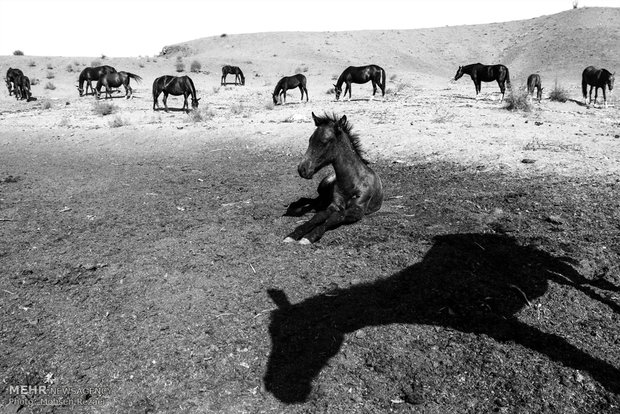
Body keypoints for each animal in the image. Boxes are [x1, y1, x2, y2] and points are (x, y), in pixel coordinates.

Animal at [262, 234, 620, 402]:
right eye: (274, 334)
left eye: (310, 334)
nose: (284, 392)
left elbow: (570, 352)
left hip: (554, 267)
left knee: (585, 282)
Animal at [282, 111, 382, 244]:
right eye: (310, 139)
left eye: (325, 141)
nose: (302, 169)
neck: (352, 183)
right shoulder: (334, 205)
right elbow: (318, 217)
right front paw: (294, 235)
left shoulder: (357, 210)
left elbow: (335, 218)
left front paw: (309, 237)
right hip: (323, 189)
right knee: (313, 201)